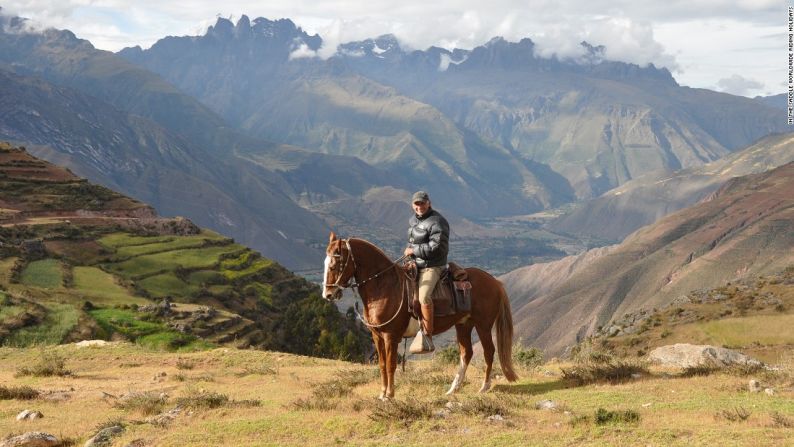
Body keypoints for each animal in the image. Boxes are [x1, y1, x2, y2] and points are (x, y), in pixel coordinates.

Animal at [322, 233, 520, 400]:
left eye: (334, 264)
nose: (328, 294)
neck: (385, 286)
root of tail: (494, 281)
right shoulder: (377, 336)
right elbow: (382, 365)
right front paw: (382, 394)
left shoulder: (391, 336)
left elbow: (391, 365)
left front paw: (390, 395)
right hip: (463, 324)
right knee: (467, 353)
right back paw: (453, 389)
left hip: (483, 325)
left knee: (489, 351)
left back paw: (484, 387)